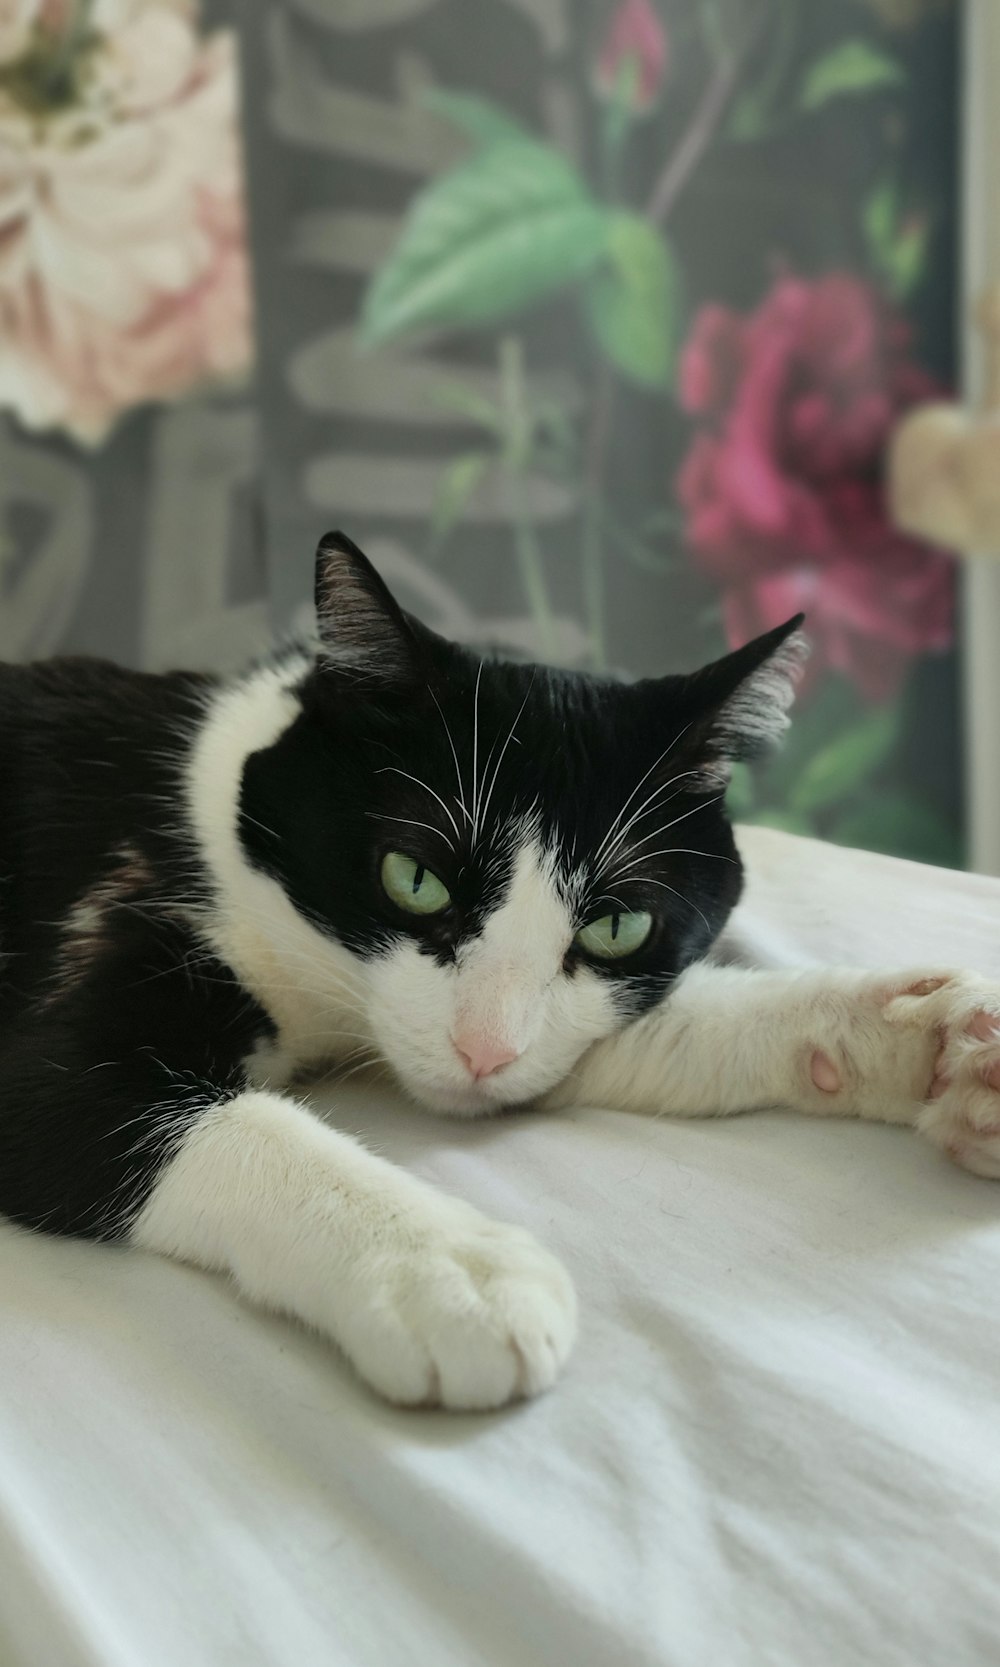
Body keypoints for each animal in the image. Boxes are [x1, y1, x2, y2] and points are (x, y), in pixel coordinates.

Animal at [1, 530, 1000, 1406]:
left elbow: (647, 1036)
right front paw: (451, 1270)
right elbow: (207, 1119)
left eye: (616, 926)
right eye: (415, 879)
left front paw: (935, 1047)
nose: (483, 1051)